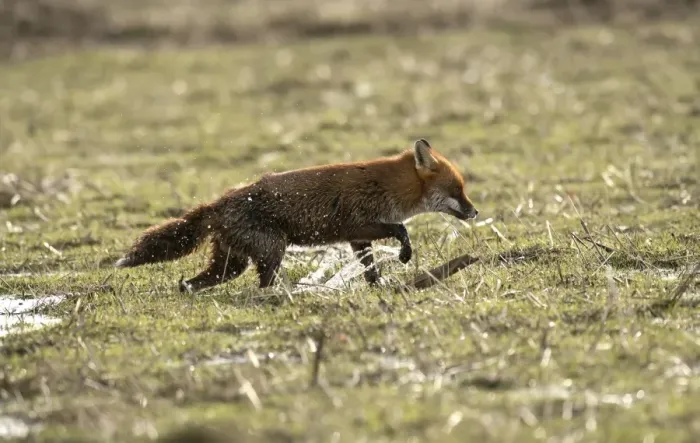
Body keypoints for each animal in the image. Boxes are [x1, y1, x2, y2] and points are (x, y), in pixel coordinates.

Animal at [115, 138, 478, 292]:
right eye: (458, 190)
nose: (475, 211)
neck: (387, 186)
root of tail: (219, 202)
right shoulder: (360, 223)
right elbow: (402, 228)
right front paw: (404, 255)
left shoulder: (358, 238)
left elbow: (371, 269)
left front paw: (380, 286)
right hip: (272, 250)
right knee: (262, 284)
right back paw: (282, 295)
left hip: (232, 263)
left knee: (194, 283)